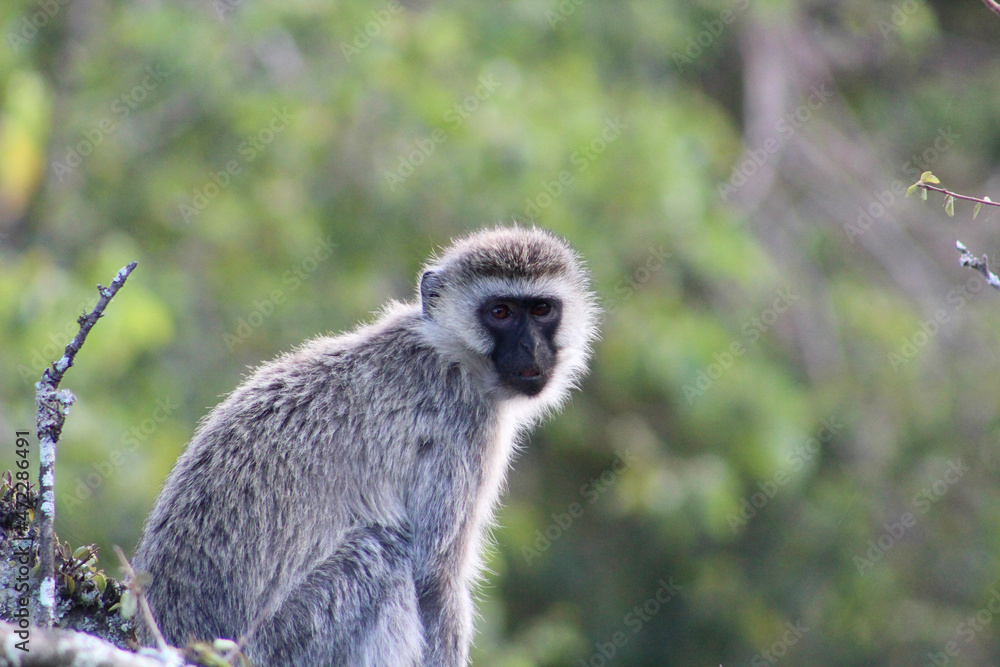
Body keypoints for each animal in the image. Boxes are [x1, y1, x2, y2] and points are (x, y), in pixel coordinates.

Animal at [131, 226, 598, 666]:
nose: (530, 347)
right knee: (381, 552)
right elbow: (435, 580)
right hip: (280, 645)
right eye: (500, 312)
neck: (449, 352)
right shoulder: (462, 429)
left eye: (541, 309)